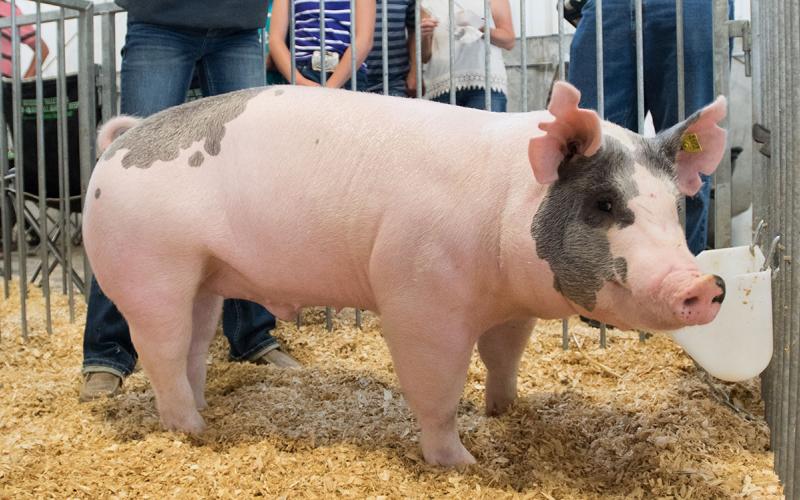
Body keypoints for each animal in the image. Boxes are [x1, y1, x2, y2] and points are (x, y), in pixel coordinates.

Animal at [82, 81, 727, 466]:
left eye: (676, 206)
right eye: (604, 203)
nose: (705, 285)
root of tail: (123, 138)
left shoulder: (512, 309)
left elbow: (503, 358)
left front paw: (506, 412)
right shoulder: (421, 299)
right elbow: (437, 387)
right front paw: (462, 463)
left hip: (204, 275)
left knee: (193, 345)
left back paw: (204, 414)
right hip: (150, 267)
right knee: (161, 350)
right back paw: (193, 431)